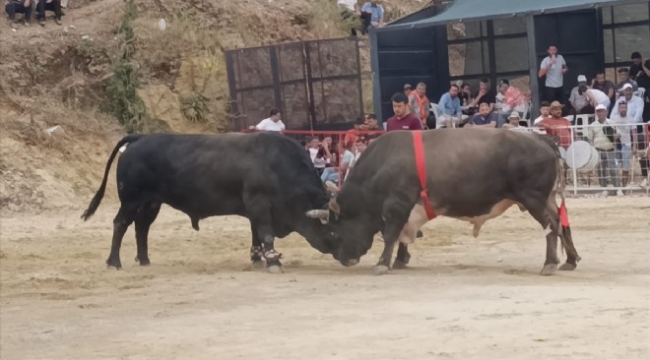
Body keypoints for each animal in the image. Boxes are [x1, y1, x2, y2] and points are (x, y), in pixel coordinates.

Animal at [81, 132, 340, 272]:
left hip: (151, 203)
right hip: (131, 200)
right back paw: (114, 262)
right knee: (121, 224)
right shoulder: (260, 206)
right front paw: (273, 261)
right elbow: (266, 234)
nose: (340, 252)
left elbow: (256, 235)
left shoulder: (254, 210)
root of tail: (139, 137)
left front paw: (257, 258)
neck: (277, 164)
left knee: (141, 227)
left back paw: (144, 260)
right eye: (332, 227)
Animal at [306, 127, 580, 276]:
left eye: (335, 230)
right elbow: (402, 235)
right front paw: (400, 259)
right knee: (563, 223)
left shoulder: (396, 204)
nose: (343, 259)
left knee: (552, 226)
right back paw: (570, 260)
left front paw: (383, 263)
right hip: (545, 198)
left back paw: (550, 263)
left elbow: (391, 233)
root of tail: (541, 139)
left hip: (534, 198)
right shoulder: (405, 210)